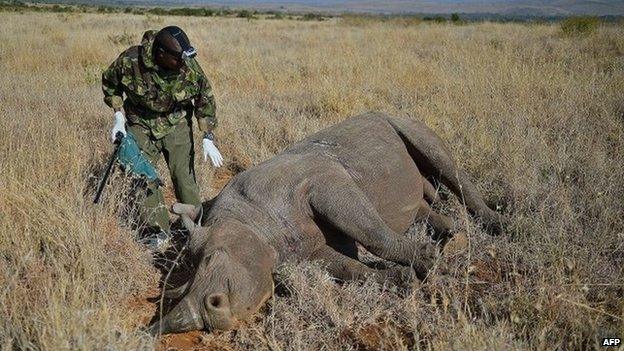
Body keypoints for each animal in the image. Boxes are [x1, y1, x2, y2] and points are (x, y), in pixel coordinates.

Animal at [149, 112, 504, 336]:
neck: (250, 220)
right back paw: (453, 238)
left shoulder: (323, 182)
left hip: (399, 120)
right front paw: (406, 280)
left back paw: (499, 224)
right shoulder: (302, 251)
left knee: (441, 160)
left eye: (211, 259)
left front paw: (428, 262)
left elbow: (370, 232)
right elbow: (350, 269)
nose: (208, 318)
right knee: (420, 201)